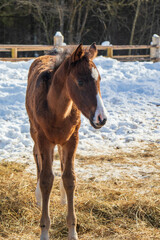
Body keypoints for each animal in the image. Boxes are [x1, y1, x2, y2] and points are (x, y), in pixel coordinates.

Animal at [25, 43, 107, 240]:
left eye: (99, 80)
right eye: (80, 82)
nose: (101, 118)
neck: (57, 110)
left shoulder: (72, 139)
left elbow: (70, 178)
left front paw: (72, 232)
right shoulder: (43, 139)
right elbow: (46, 179)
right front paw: (44, 231)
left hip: (63, 140)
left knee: (62, 160)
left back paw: (62, 196)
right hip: (34, 131)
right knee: (36, 155)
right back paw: (38, 196)